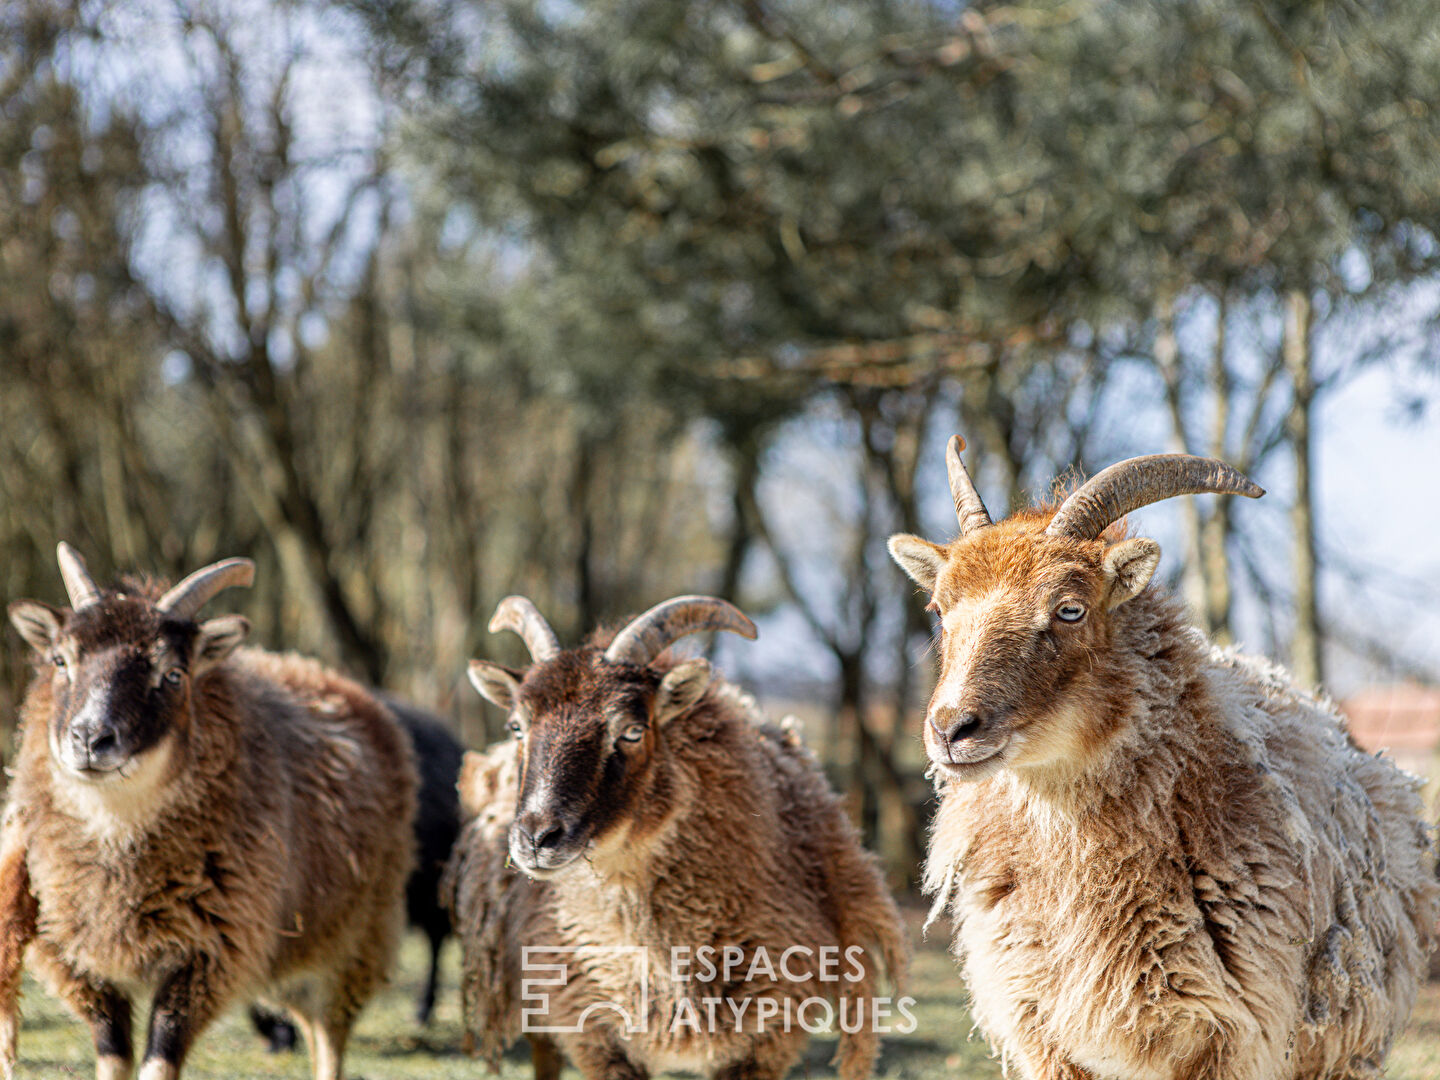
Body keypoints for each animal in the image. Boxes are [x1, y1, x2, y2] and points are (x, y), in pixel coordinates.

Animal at [0, 550, 417, 1080]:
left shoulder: (209, 955)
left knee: (331, 1037)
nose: (91, 738)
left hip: (356, 940)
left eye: (174, 673)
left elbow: (159, 1060)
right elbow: (113, 1057)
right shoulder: (80, 961)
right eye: (60, 659)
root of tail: (330, 676)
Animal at [887, 437, 1440, 1080]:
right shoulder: (1042, 1035)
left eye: (1070, 609)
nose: (951, 729)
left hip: (1344, 1050)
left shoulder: (1231, 1037)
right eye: (937, 609)